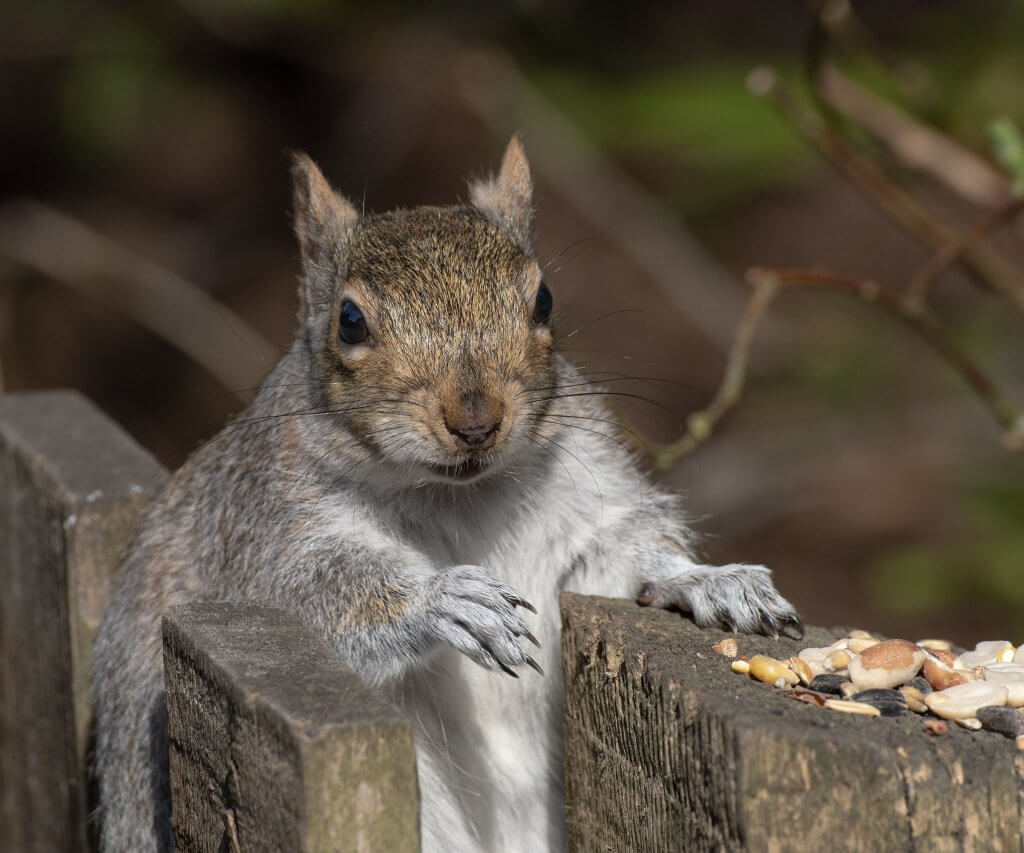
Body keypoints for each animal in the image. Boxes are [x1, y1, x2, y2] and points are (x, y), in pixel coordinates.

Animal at [94, 136, 798, 847]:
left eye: (544, 300)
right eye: (349, 321)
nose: (476, 422)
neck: (456, 493)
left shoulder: (584, 505)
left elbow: (615, 558)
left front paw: (710, 581)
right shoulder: (265, 530)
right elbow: (307, 598)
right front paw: (444, 600)